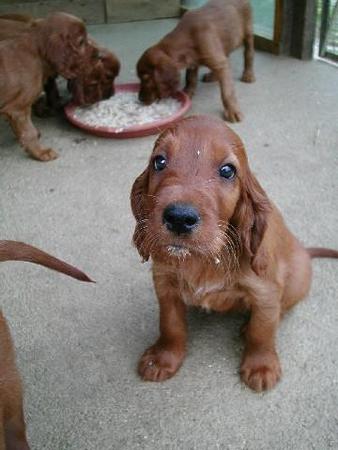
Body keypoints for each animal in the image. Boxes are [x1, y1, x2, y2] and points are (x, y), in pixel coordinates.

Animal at [0, 11, 92, 162]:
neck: (36, 50)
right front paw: (41, 152)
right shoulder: (18, 108)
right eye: (81, 41)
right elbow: (29, 132)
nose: (98, 54)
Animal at [130, 115, 338, 390]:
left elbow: (262, 330)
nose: (179, 218)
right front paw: (163, 358)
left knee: (281, 310)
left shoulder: (266, 291)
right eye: (159, 161)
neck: (206, 258)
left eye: (227, 170)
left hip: (297, 282)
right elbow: (170, 323)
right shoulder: (165, 282)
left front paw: (261, 366)